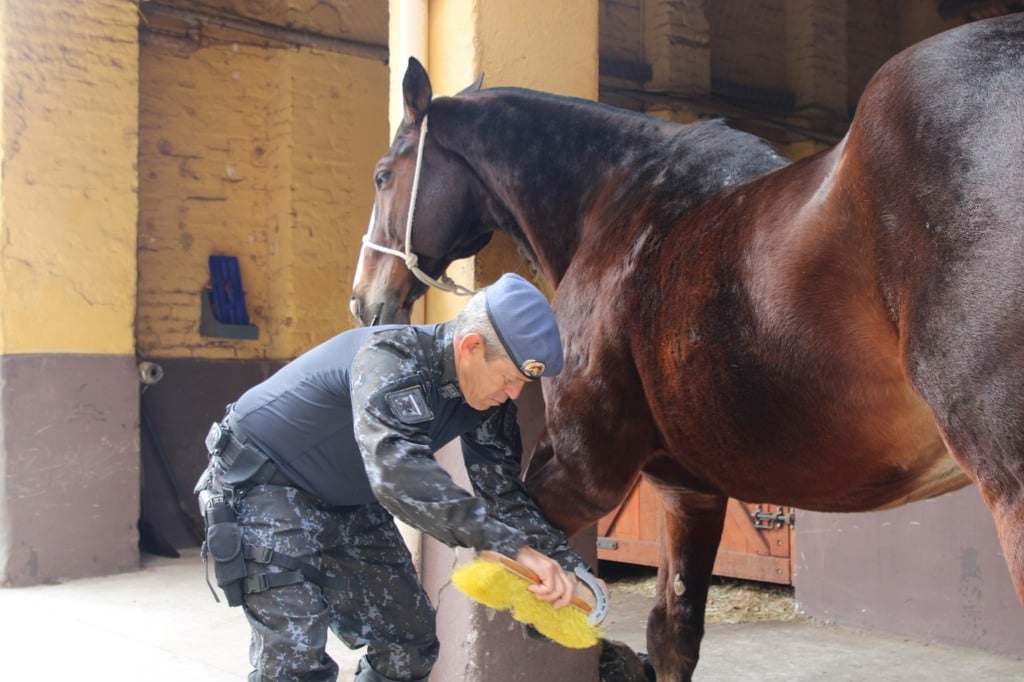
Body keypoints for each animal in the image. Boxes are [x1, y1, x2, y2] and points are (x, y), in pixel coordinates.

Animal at [350, 15, 1024, 679]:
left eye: (383, 176)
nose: (364, 302)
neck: (617, 205)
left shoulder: (585, 471)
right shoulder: (688, 492)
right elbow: (672, 633)